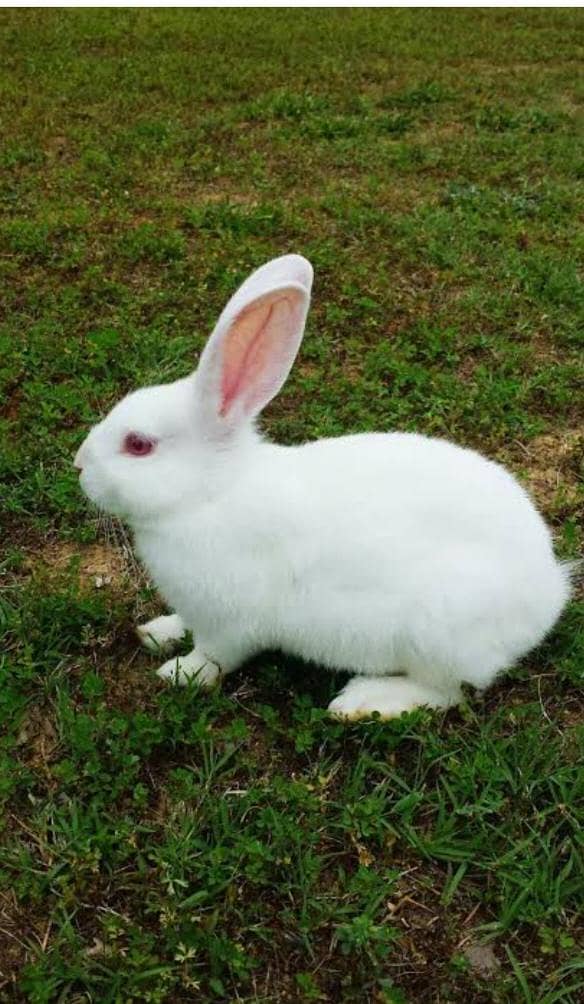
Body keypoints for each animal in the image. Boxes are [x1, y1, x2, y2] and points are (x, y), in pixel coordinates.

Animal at [74, 254, 571, 719]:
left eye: (139, 445)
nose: (79, 464)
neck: (209, 495)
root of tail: (549, 592)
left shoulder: (230, 625)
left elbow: (214, 658)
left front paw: (177, 673)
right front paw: (157, 631)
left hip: (438, 631)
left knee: (448, 692)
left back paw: (364, 701)